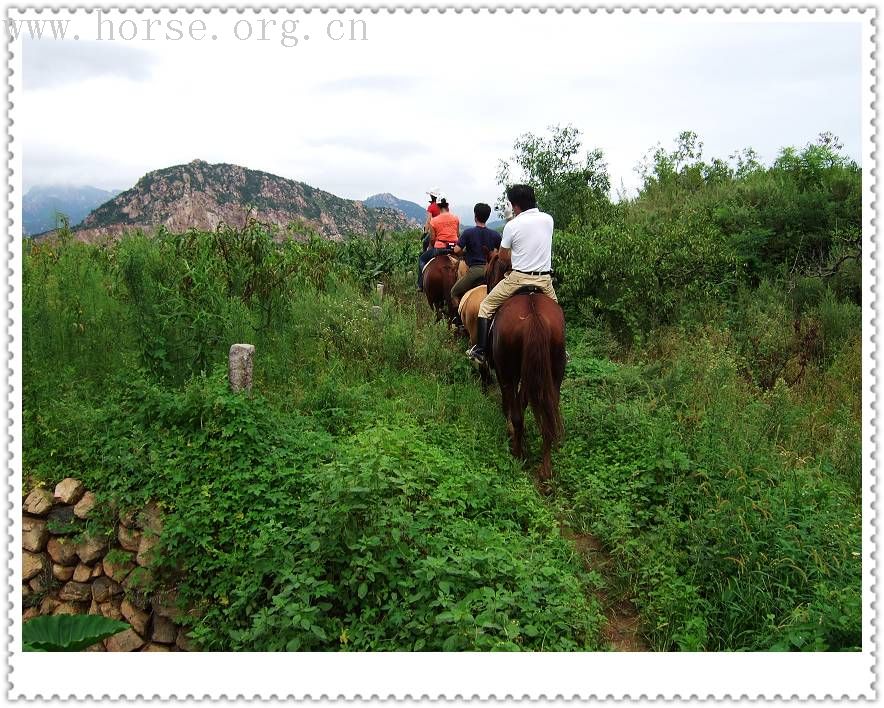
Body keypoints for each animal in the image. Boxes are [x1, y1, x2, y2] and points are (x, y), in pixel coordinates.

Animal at [484, 252, 568, 478]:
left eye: (487, 272)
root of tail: (533, 316)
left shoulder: (505, 373)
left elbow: (511, 405)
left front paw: (510, 432)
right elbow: (522, 402)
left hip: (508, 371)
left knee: (517, 415)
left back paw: (518, 454)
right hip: (554, 373)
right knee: (548, 416)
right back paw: (546, 469)